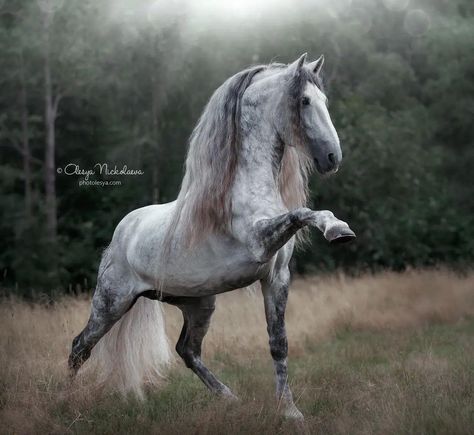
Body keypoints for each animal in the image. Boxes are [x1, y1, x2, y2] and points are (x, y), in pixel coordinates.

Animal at [68, 52, 354, 420]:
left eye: (324, 100)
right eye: (304, 101)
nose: (333, 158)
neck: (248, 184)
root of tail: (122, 233)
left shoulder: (276, 276)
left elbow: (278, 343)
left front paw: (289, 412)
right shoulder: (261, 242)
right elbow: (302, 213)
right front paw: (338, 229)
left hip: (198, 303)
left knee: (187, 350)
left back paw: (230, 398)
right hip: (111, 301)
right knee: (80, 346)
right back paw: (65, 401)